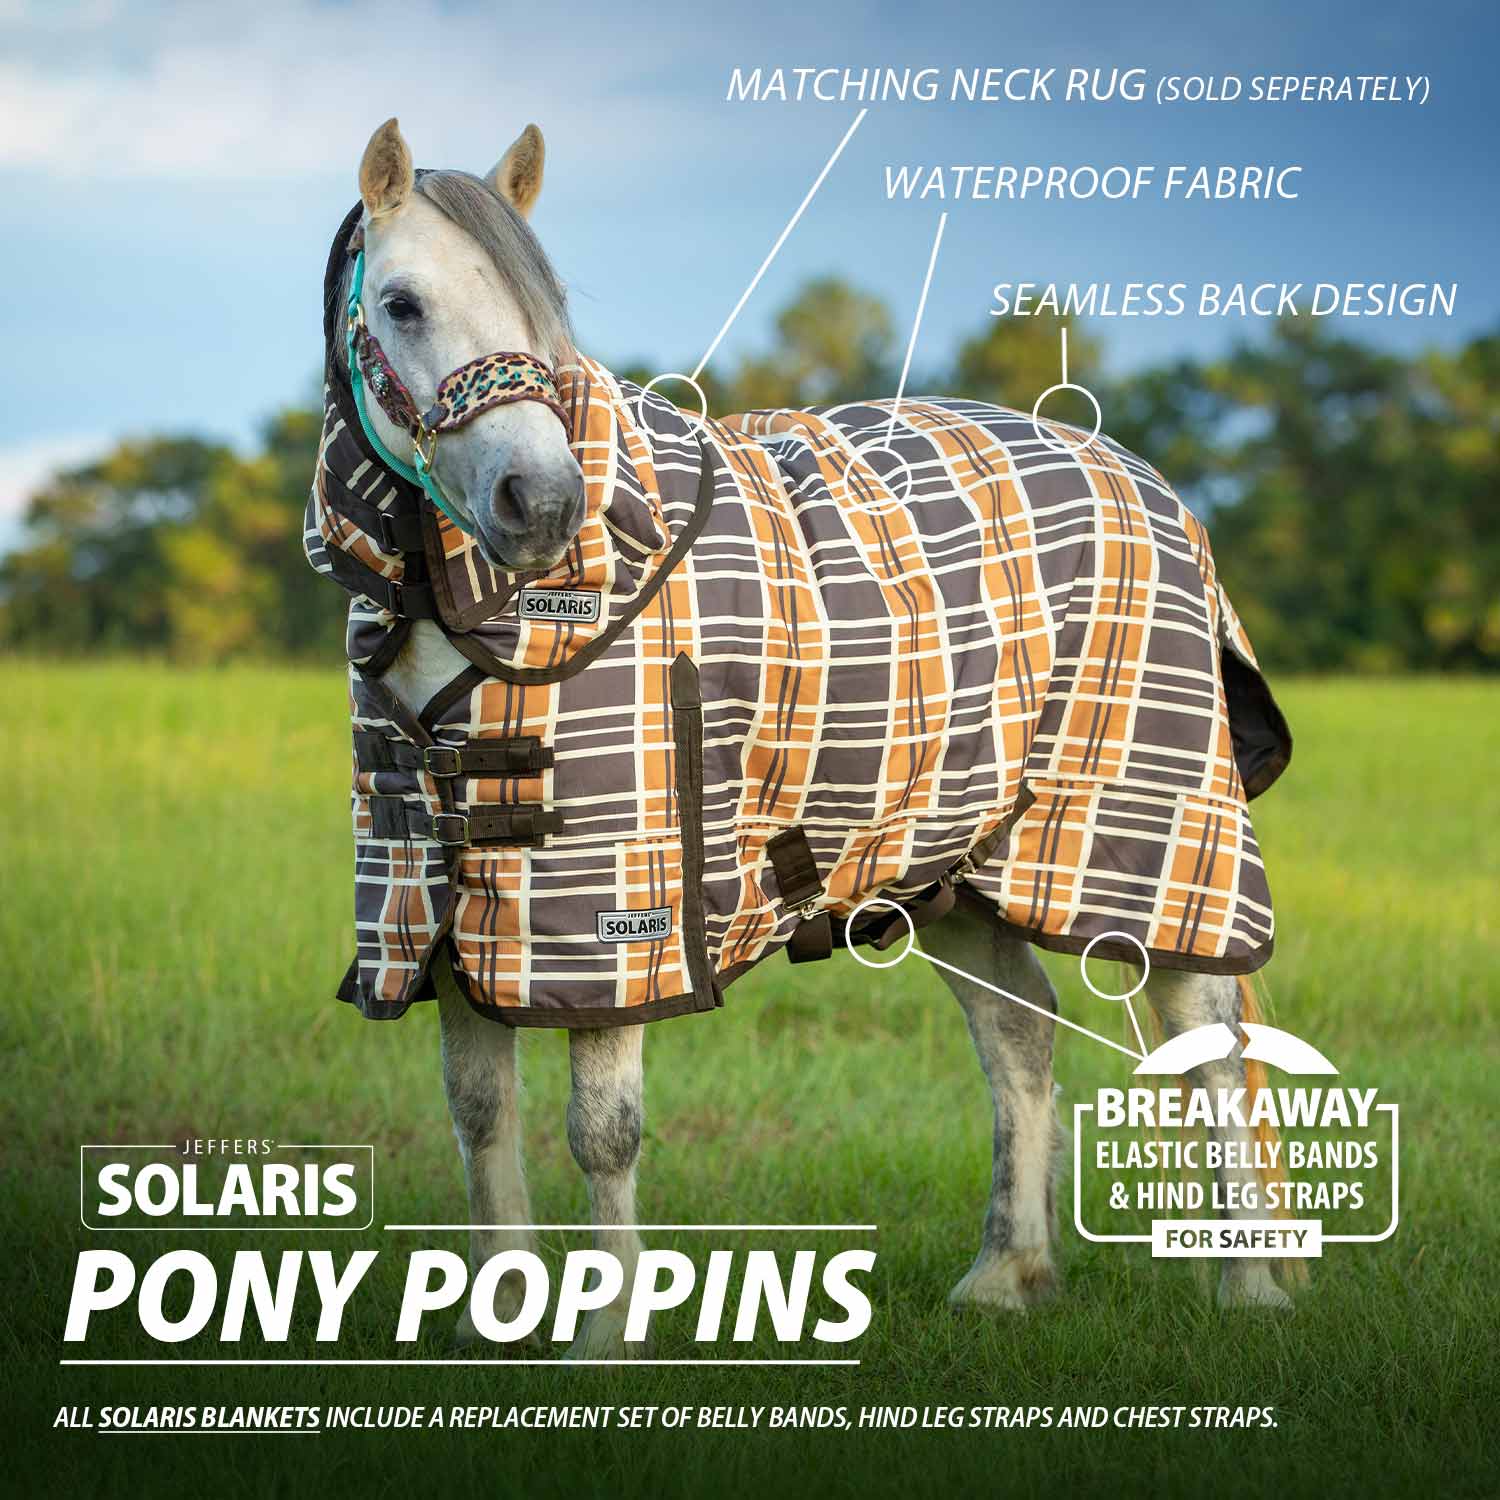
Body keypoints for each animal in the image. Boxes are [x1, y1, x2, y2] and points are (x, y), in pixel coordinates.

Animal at [312, 118, 1298, 1359]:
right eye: (400, 304)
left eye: (545, 312)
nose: (537, 503)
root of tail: (1138, 473)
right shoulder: (442, 901)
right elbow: (480, 1112)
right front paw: (497, 1318)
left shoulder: (616, 917)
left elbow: (602, 1129)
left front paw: (605, 1332)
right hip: (949, 858)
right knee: (1020, 1037)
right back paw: (1009, 1273)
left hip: (1148, 837)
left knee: (1206, 1038)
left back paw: (1249, 1288)